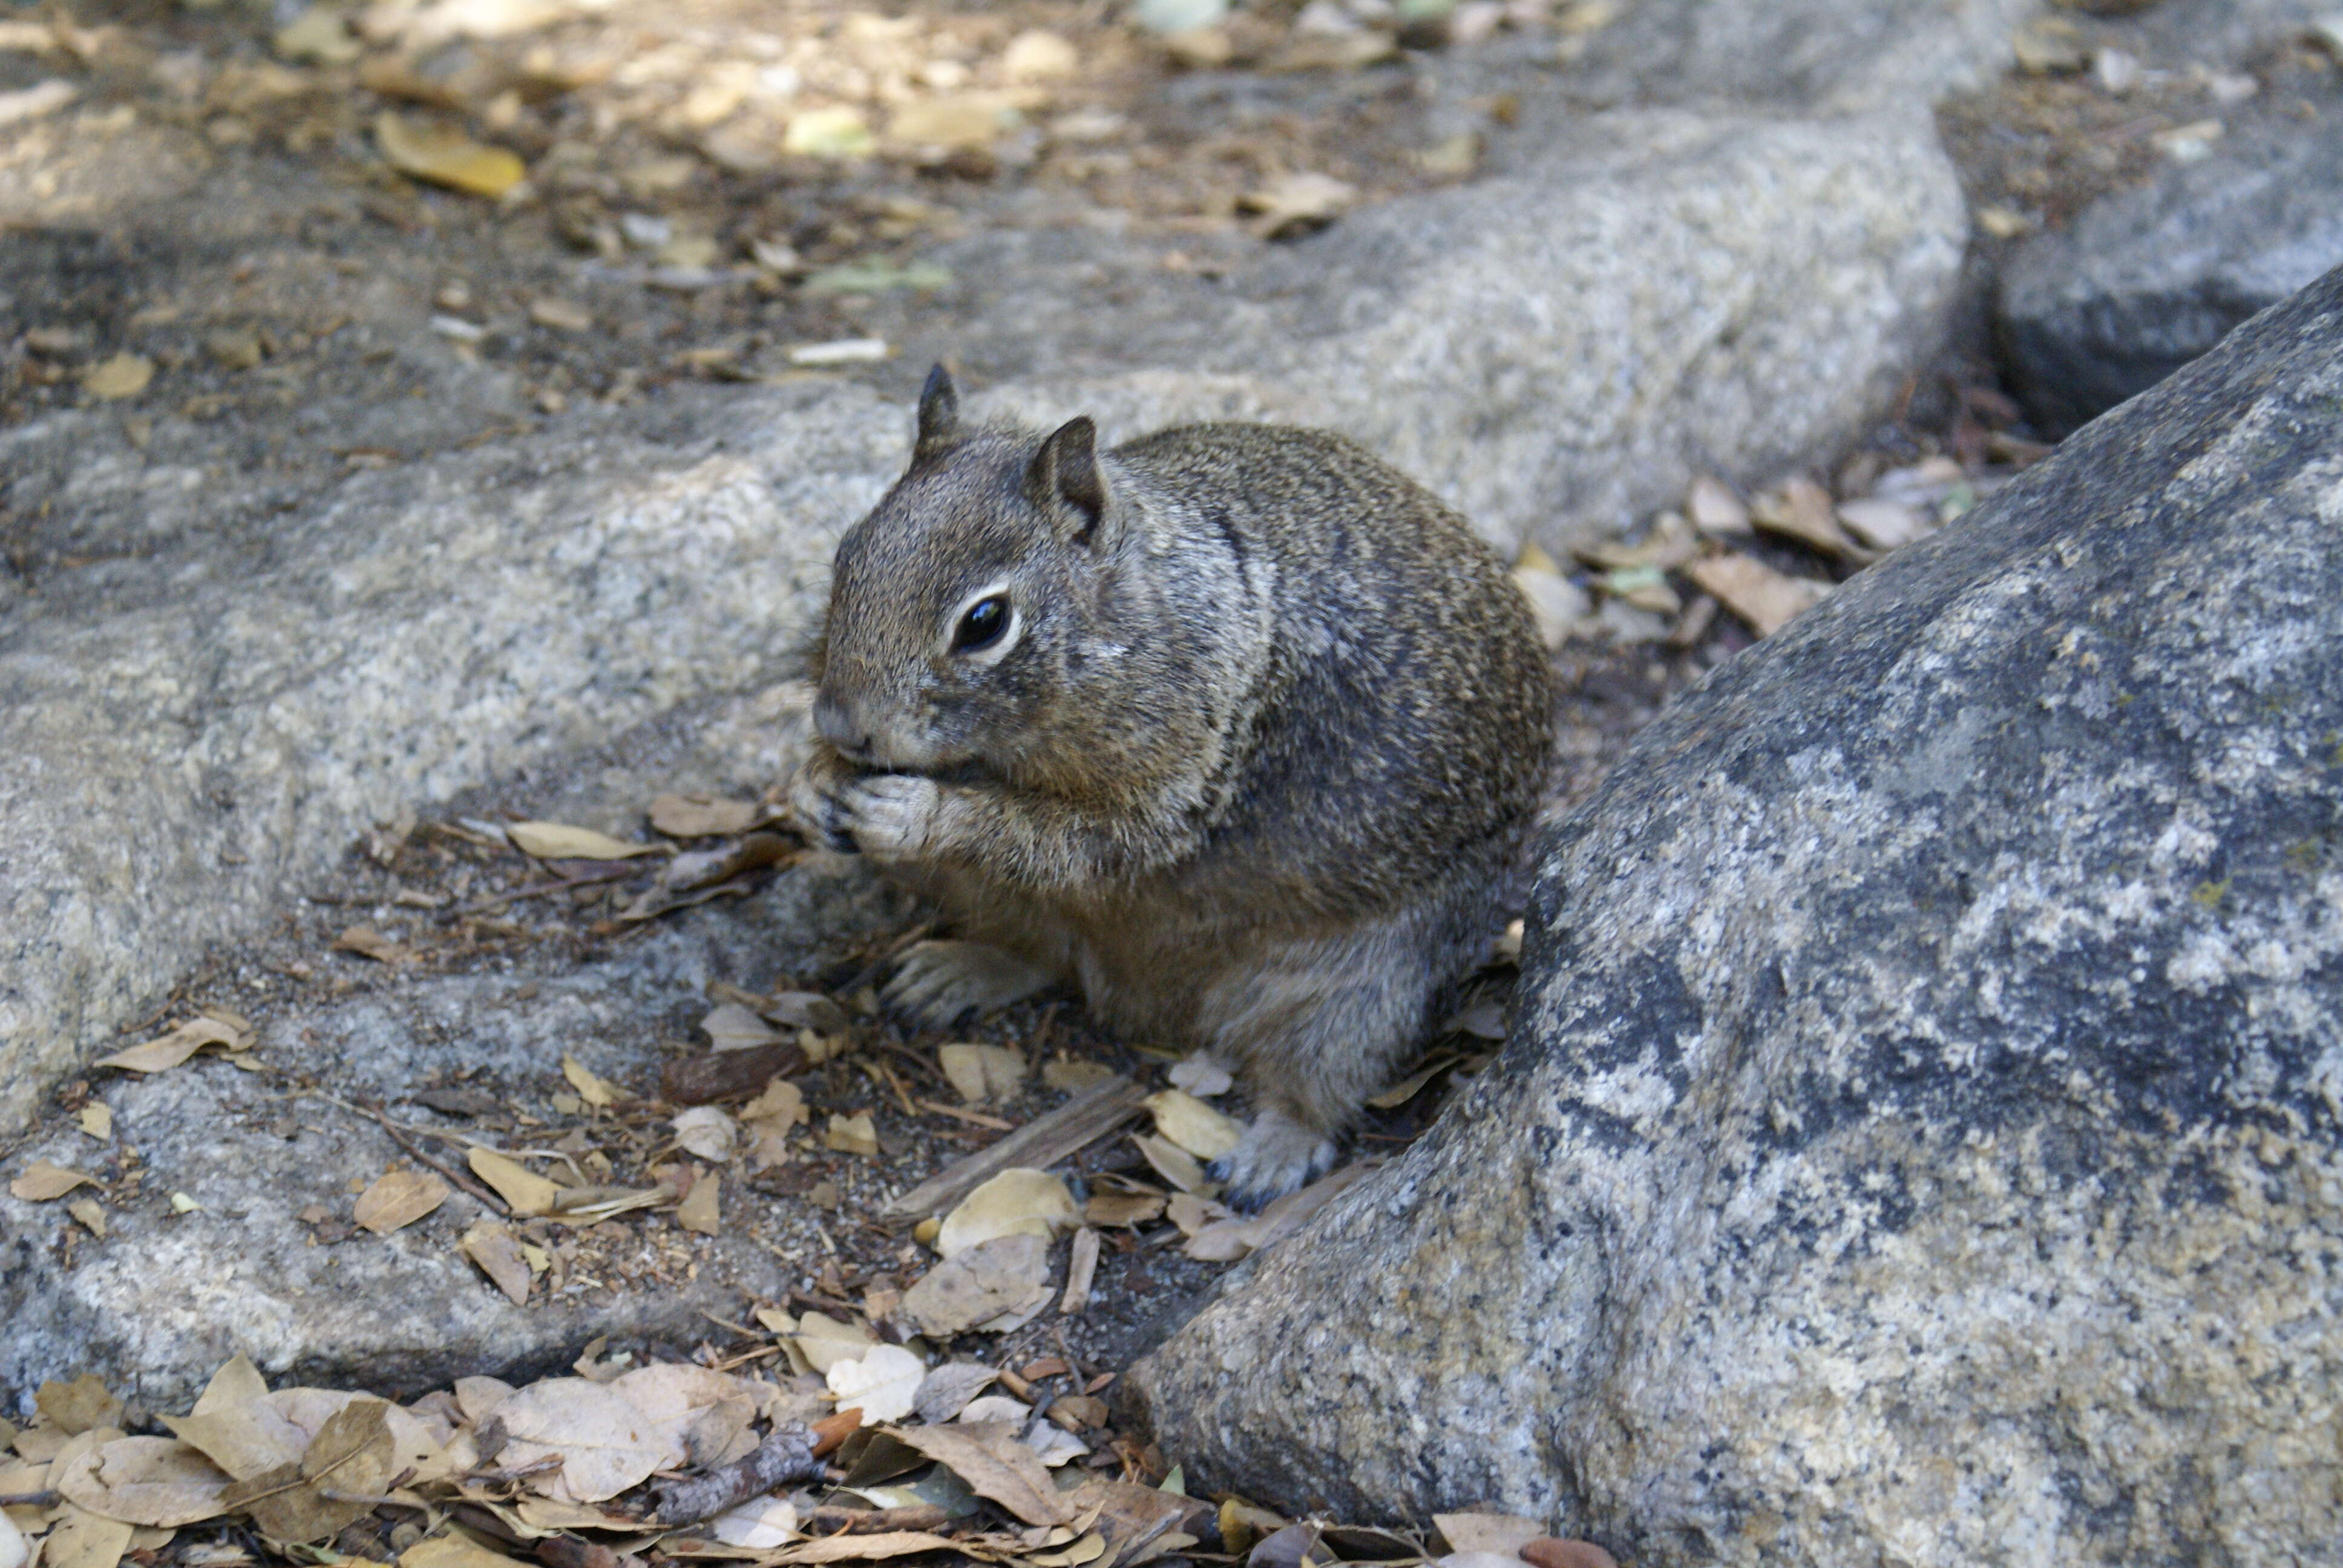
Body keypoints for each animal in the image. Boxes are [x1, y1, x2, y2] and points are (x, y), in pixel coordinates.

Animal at [791, 363, 1556, 1200]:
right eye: (845, 556)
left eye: (984, 622)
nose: (842, 724)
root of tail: (1156, 1007)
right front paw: (812, 786)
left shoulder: (1178, 787)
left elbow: (1071, 842)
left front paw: (918, 813)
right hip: (997, 902)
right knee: (1037, 951)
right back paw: (953, 971)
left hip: (1366, 990)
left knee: (1317, 1082)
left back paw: (1271, 1153)